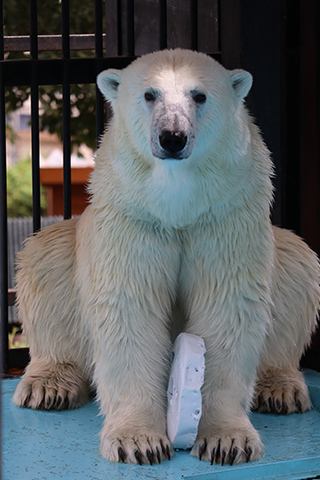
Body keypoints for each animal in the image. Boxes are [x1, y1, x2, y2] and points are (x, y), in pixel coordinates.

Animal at [13, 49, 320, 464]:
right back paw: (48, 386)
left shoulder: (225, 217)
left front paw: (227, 440)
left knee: (297, 264)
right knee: (45, 258)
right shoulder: (132, 218)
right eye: (149, 94)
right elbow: (128, 308)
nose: (172, 137)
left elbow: (228, 306)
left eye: (200, 95)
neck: (177, 206)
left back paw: (281, 389)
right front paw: (139, 442)